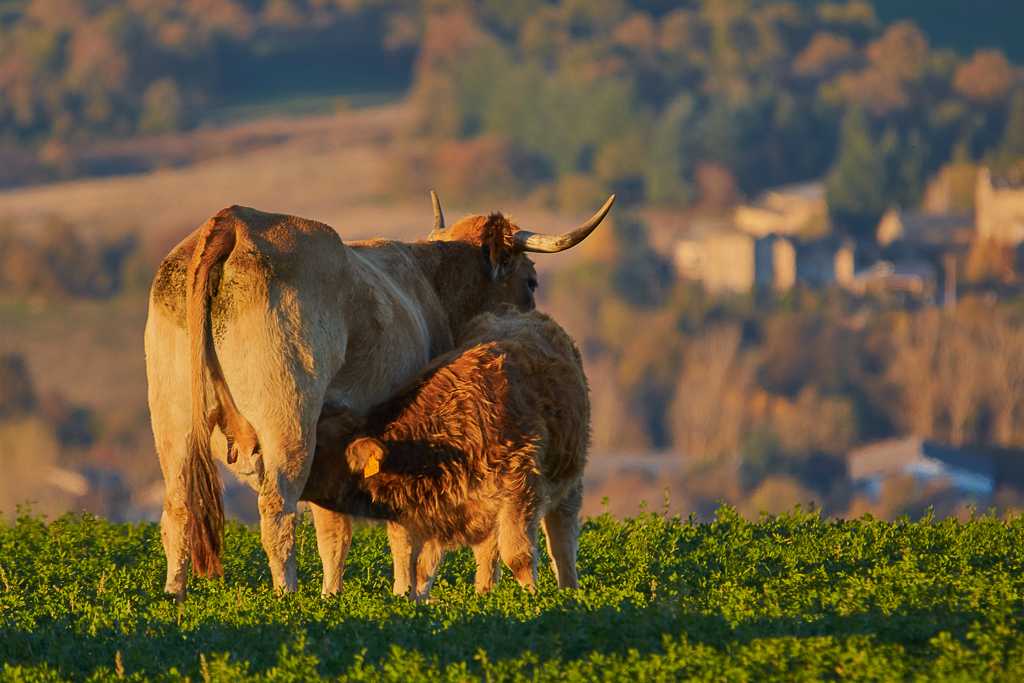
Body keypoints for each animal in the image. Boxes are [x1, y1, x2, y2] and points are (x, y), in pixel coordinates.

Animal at [303, 309, 589, 598]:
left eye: (318, 445)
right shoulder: (440, 513)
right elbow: (423, 569)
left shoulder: (520, 490)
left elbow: (518, 556)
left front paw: (532, 600)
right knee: (487, 553)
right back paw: (484, 594)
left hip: (570, 479)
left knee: (561, 537)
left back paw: (570, 593)